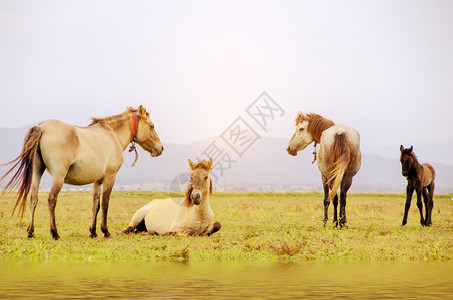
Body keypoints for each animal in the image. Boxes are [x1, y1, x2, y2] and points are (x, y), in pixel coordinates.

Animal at [0, 105, 163, 239]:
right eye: (152, 126)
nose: (160, 148)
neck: (112, 135)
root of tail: (42, 127)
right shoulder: (110, 177)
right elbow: (105, 203)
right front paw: (105, 231)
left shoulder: (98, 181)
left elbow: (95, 205)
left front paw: (93, 232)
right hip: (58, 176)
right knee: (51, 199)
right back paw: (55, 233)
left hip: (37, 172)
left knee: (33, 199)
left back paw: (31, 232)